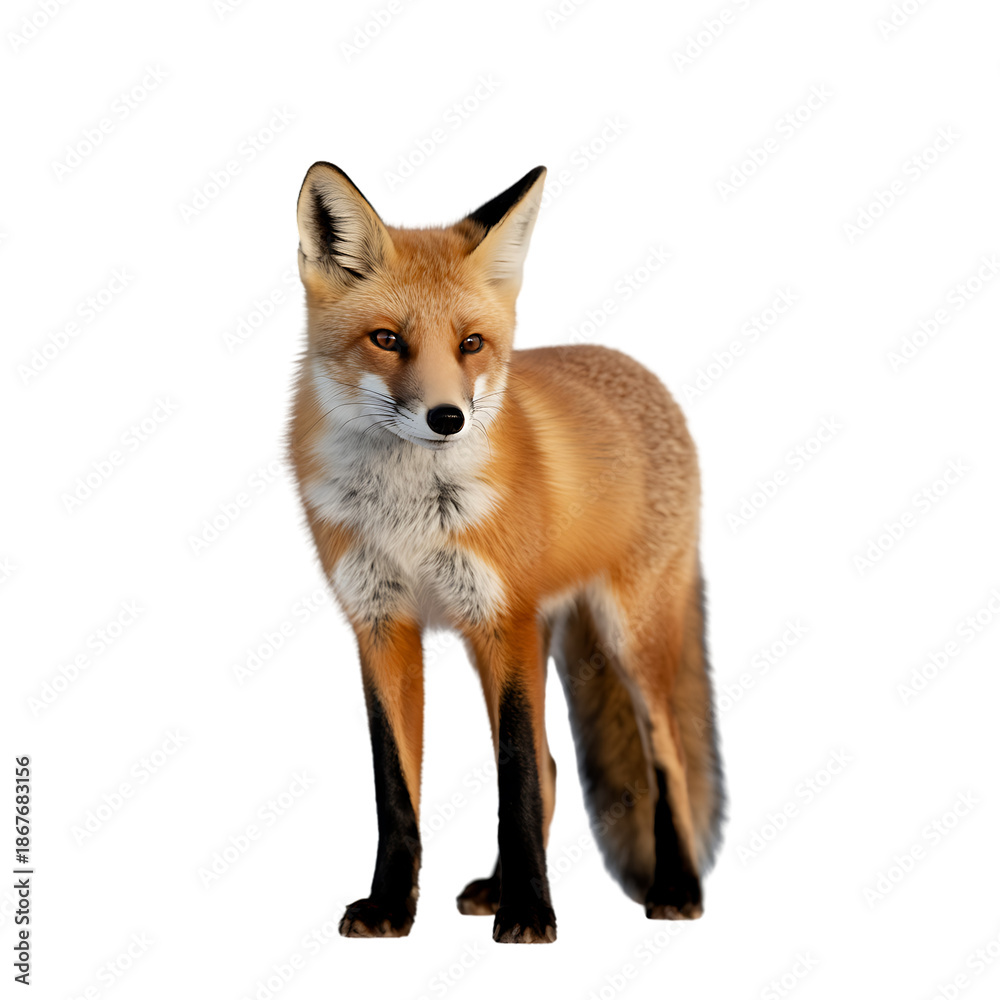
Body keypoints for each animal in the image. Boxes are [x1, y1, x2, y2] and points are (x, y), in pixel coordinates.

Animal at [286, 162, 725, 944]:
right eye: (386, 339)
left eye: (470, 344)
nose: (448, 418)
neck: (409, 512)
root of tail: (635, 369)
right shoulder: (382, 626)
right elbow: (397, 789)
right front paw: (392, 907)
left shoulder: (506, 620)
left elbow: (514, 778)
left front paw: (530, 914)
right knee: (553, 765)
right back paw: (495, 886)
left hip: (630, 637)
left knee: (665, 758)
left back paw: (674, 889)